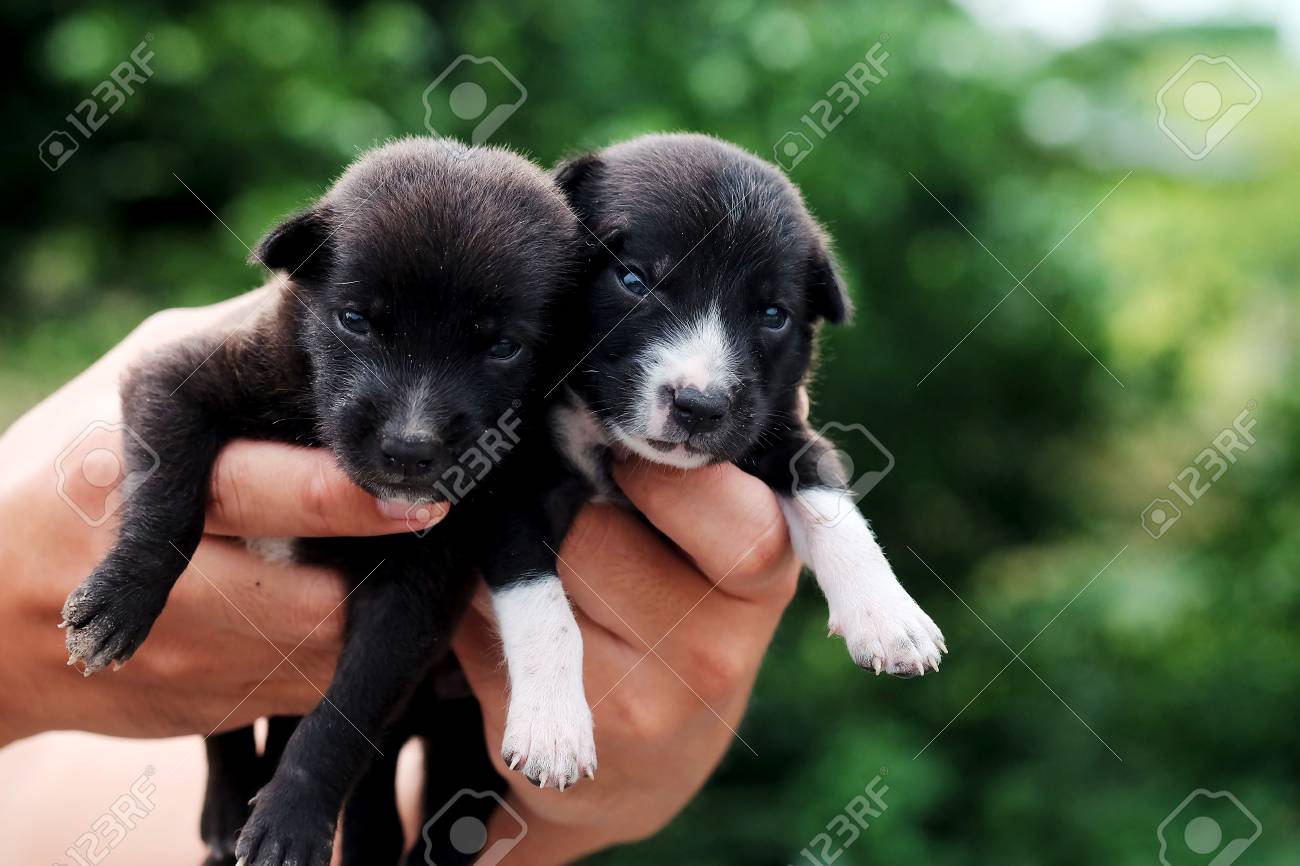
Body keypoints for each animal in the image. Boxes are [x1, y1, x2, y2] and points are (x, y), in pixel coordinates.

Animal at [473, 132, 947, 794]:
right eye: (633, 279)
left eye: (772, 315)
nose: (699, 405)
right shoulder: (510, 486)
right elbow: (541, 606)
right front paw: (552, 729)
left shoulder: (780, 433)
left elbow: (831, 504)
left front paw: (888, 614)